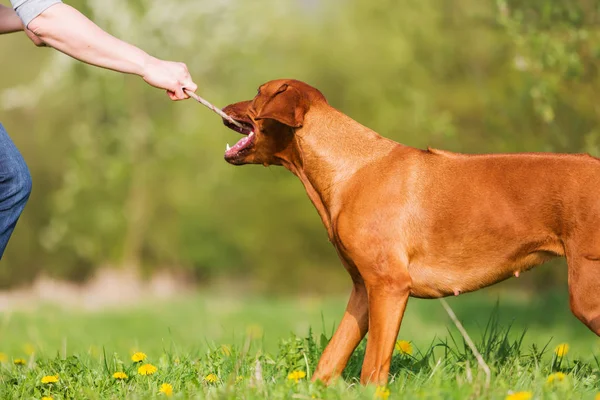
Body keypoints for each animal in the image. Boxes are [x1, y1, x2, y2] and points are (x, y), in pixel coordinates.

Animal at [220, 79, 600, 384]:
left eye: (258, 93)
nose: (222, 108)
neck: (350, 167)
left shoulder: (389, 286)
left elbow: (373, 368)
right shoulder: (363, 290)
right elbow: (329, 361)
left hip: (587, 296)